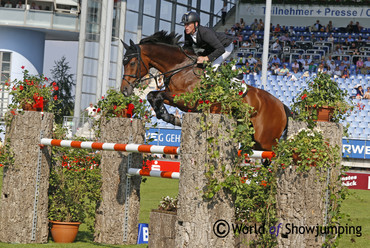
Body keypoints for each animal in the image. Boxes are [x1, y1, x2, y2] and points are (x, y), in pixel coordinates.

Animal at [121, 31, 292, 151]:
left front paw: (170, 117)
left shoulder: (188, 100)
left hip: (266, 142)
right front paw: (168, 116)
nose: (124, 90)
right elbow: (153, 95)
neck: (180, 68)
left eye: (132, 63)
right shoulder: (175, 98)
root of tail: (281, 105)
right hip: (254, 138)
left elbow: (158, 95)